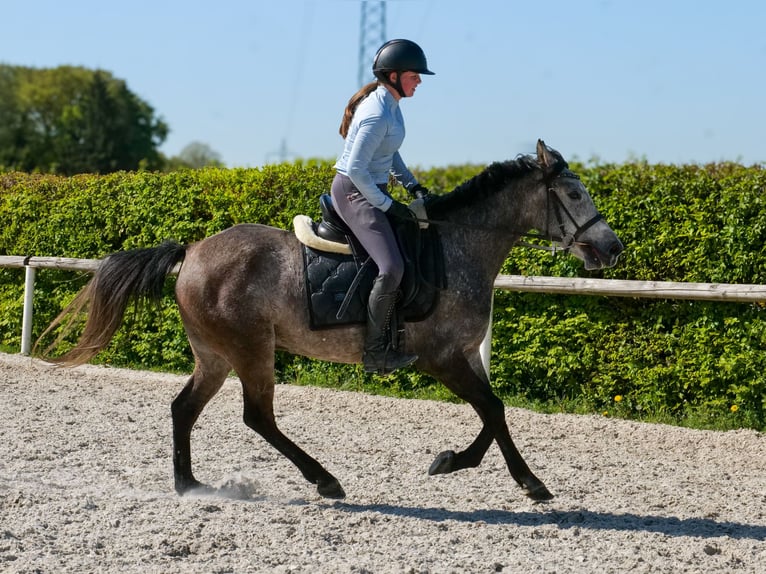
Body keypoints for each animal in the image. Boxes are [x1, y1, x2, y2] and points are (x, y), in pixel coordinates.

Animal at [40, 140, 623, 502]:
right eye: (574, 194)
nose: (611, 247)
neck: (458, 247)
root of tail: (193, 250)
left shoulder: (462, 356)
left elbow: (494, 411)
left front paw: (460, 463)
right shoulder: (441, 358)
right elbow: (493, 410)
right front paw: (521, 480)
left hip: (216, 355)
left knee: (184, 408)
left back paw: (188, 485)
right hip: (250, 350)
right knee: (258, 417)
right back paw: (325, 481)